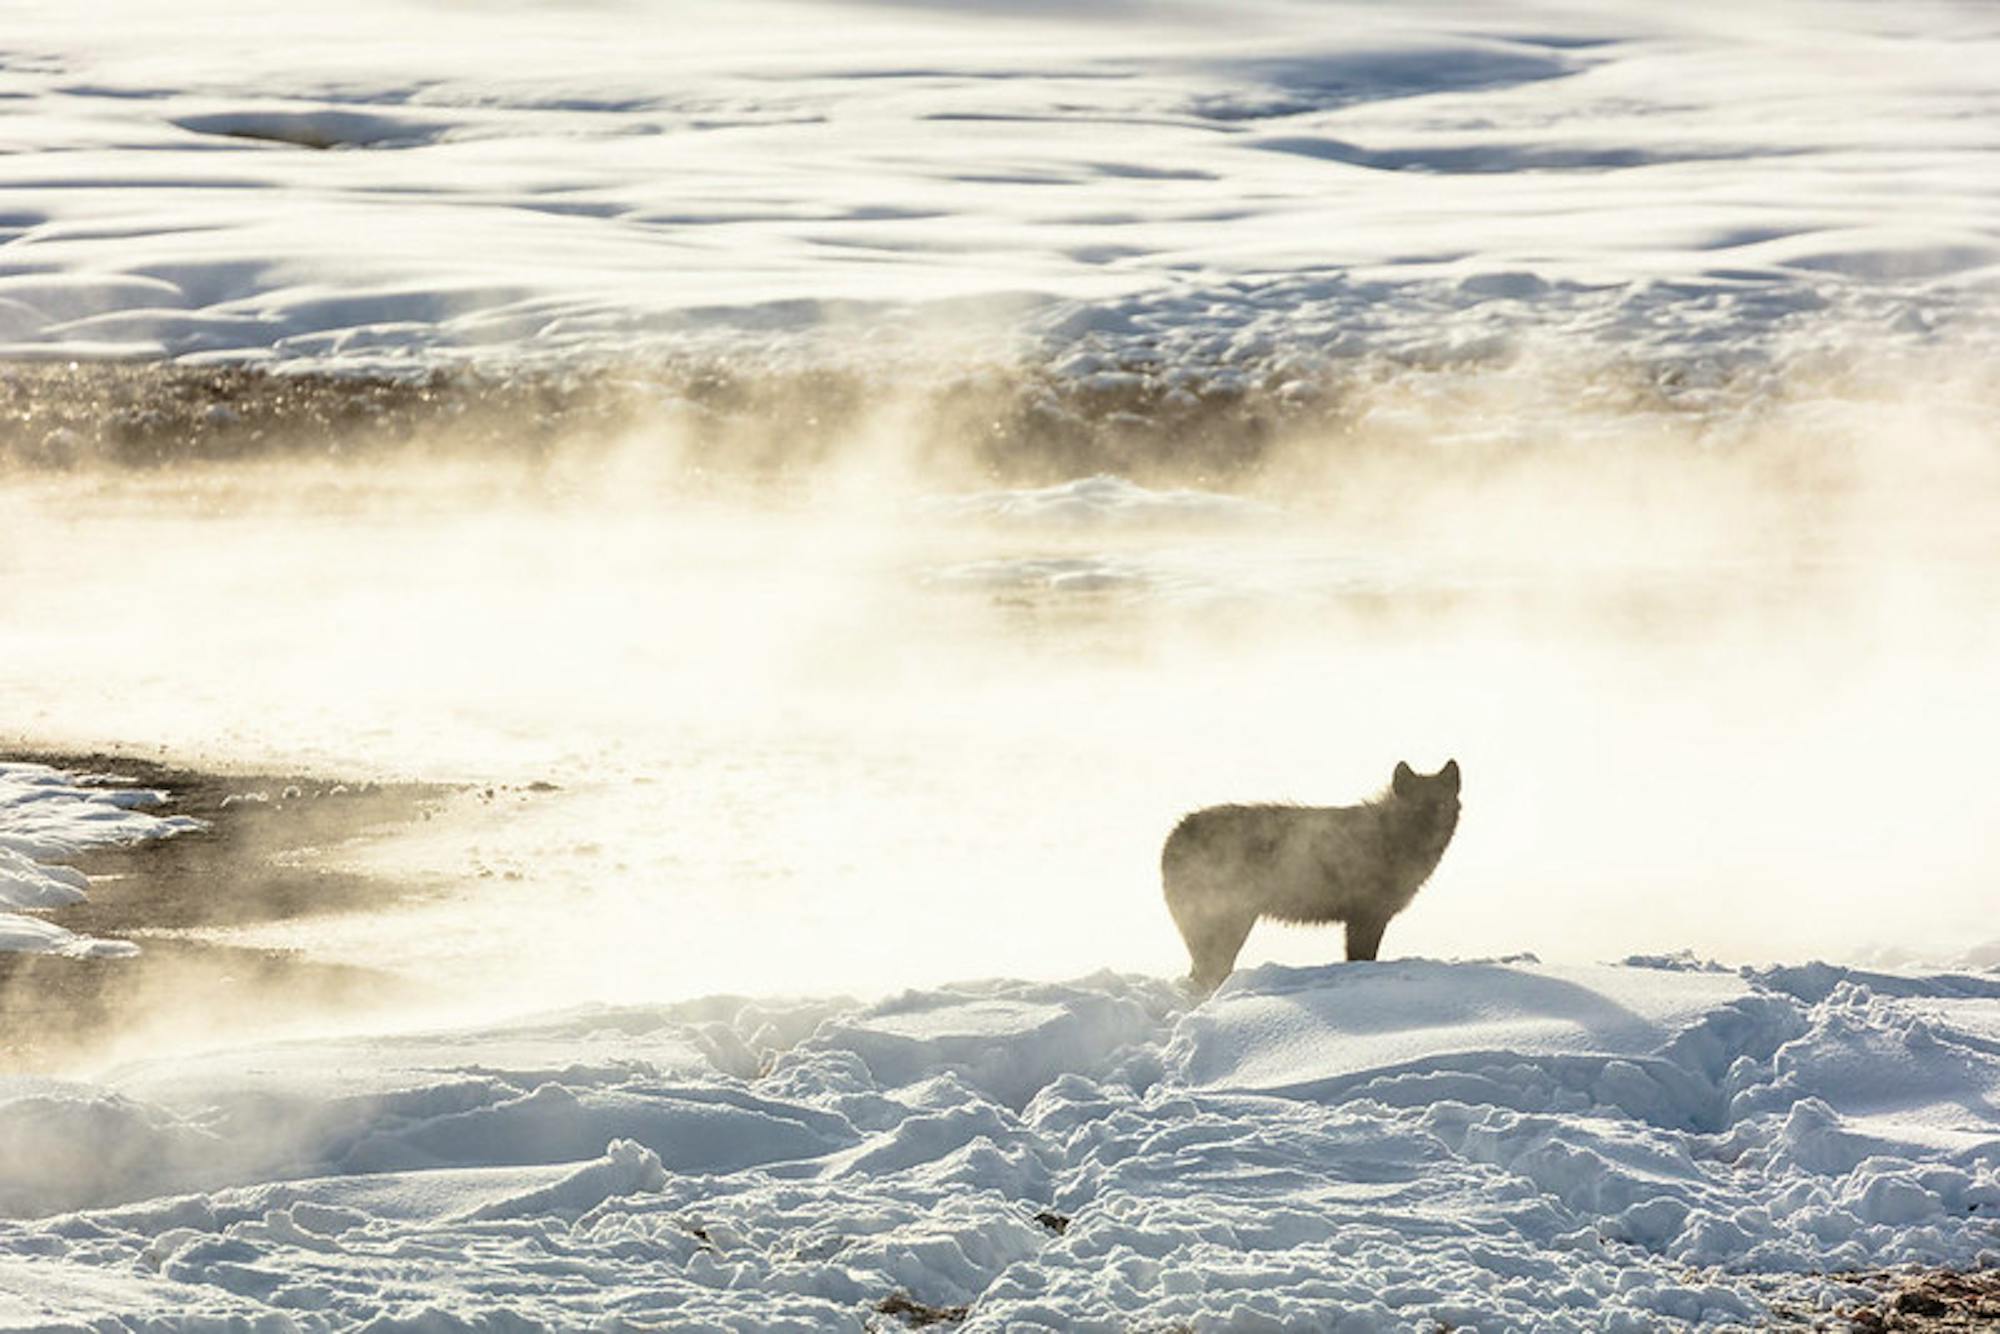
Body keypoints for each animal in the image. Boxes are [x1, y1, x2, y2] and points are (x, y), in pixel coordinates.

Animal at [1162, 759, 1461, 994]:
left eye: (1442, 804)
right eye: (1415, 808)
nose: (1431, 832)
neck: (1390, 839)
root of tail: (1173, 836)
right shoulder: (1365, 917)